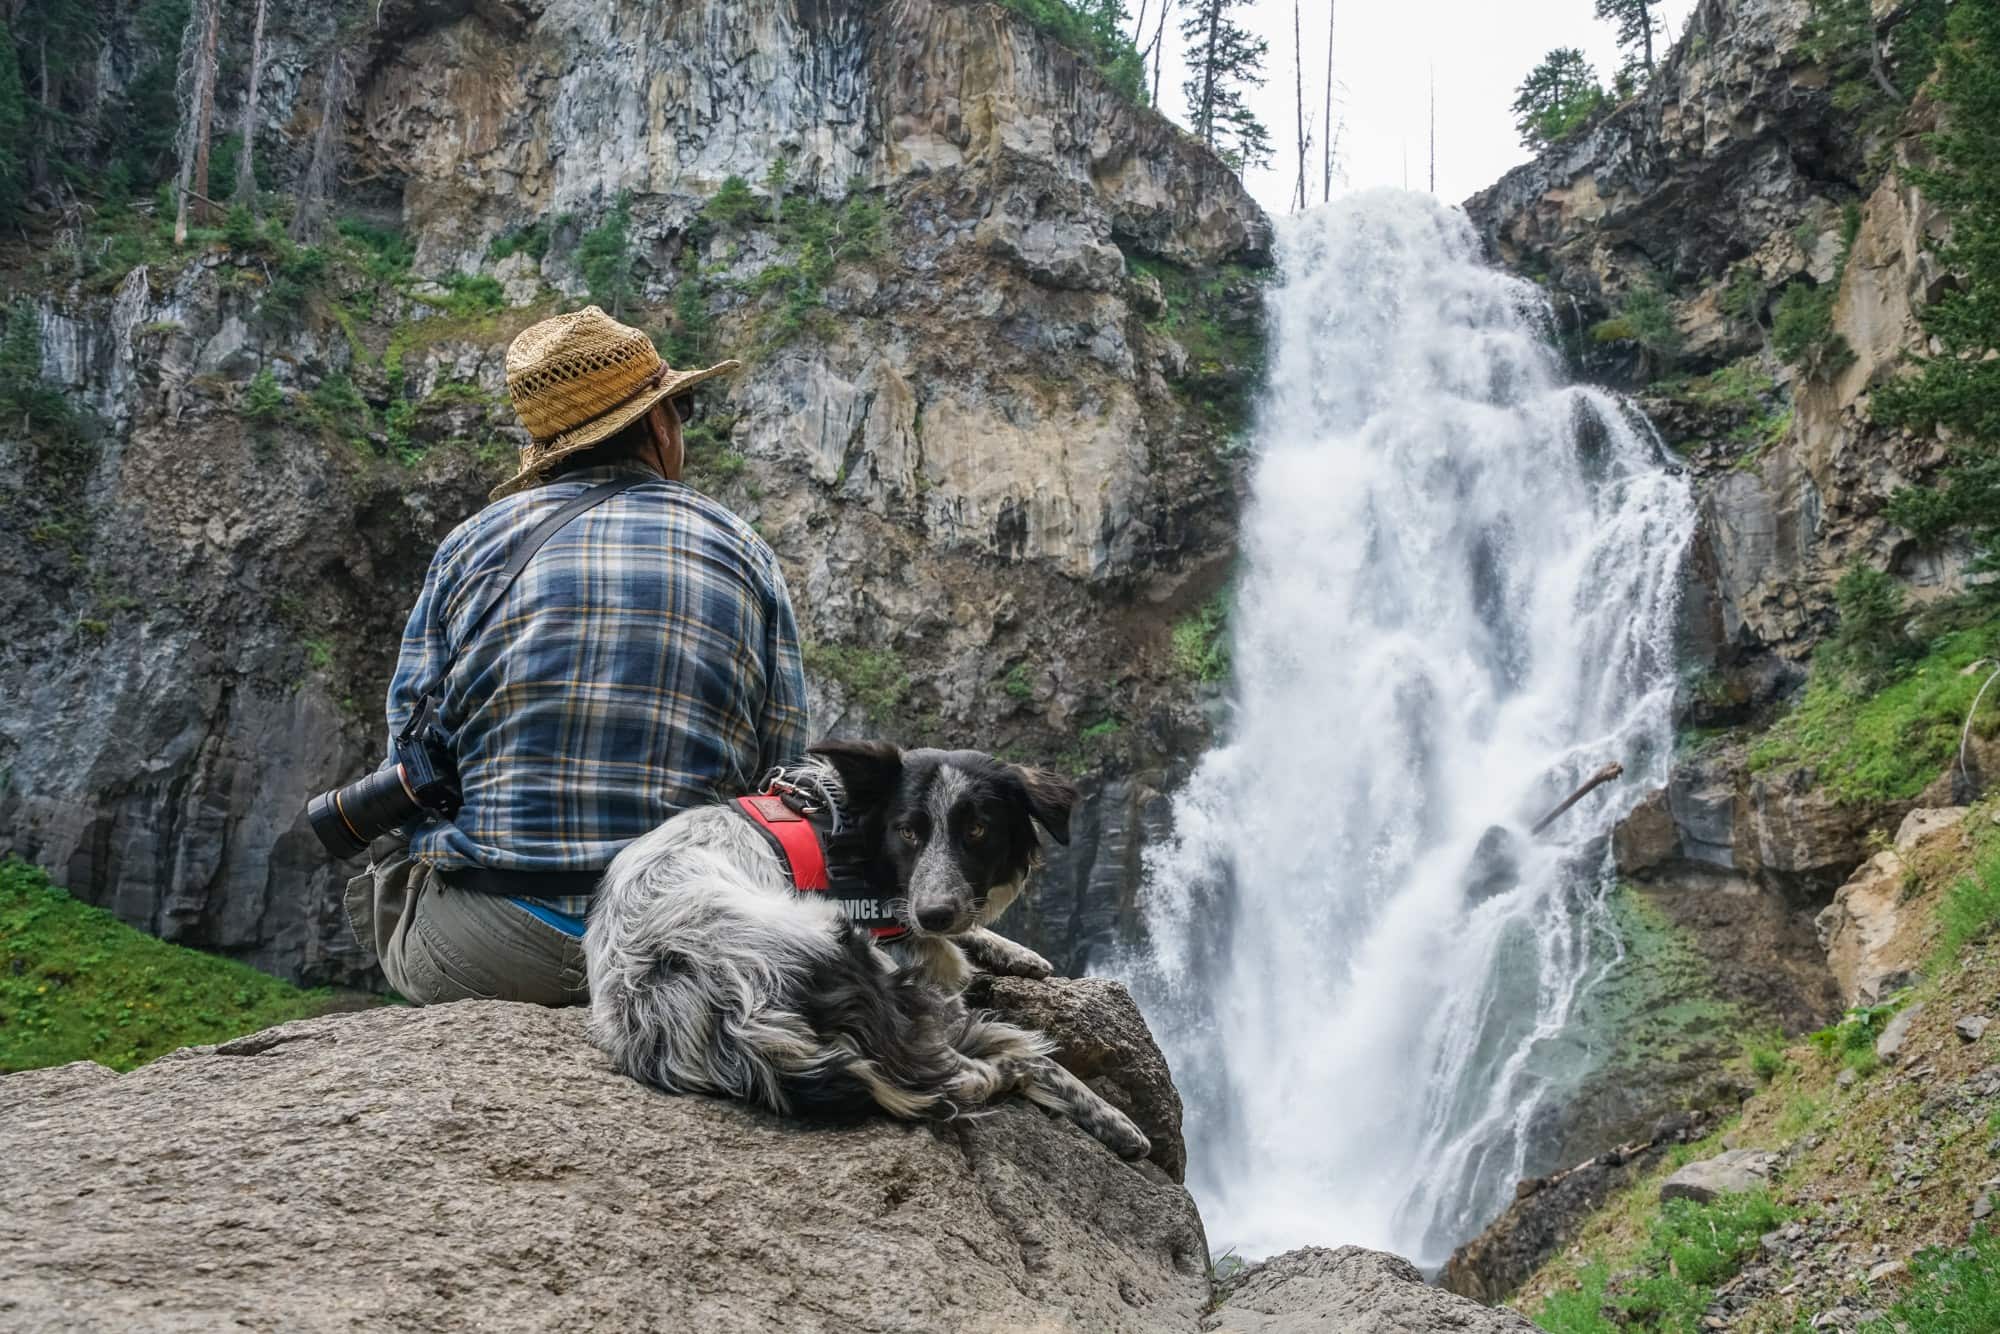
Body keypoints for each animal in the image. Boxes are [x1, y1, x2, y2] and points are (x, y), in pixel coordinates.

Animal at [580, 748, 1160, 1160]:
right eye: (908, 832)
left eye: (977, 830)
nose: (935, 914)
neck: (846, 828)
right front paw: (1114, 1119)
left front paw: (1014, 950)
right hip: (857, 960)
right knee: (989, 1063)